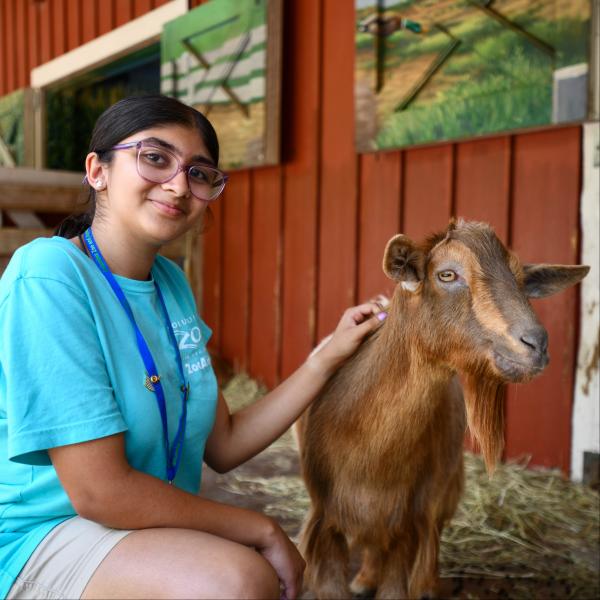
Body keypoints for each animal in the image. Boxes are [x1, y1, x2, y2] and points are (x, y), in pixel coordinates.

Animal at [298, 220, 588, 600]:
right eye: (447, 274)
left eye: (521, 278)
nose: (536, 344)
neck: (369, 460)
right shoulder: (326, 520)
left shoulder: (408, 519)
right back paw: (364, 580)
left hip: (444, 485)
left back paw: (425, 586)